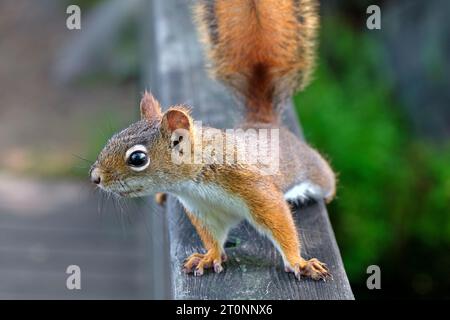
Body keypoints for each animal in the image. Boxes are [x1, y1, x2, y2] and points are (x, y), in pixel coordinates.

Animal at [89, 0, 334, 280]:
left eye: (138, 158)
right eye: (113, 138)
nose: (95, 177)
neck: (195, 182)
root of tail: (263, 123)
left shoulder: (256, 187)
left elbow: (280, 224)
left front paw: (299, 262)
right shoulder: (203, 209)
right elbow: (212, 236)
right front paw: (209, 257)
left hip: (311, 168)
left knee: (326, 178)